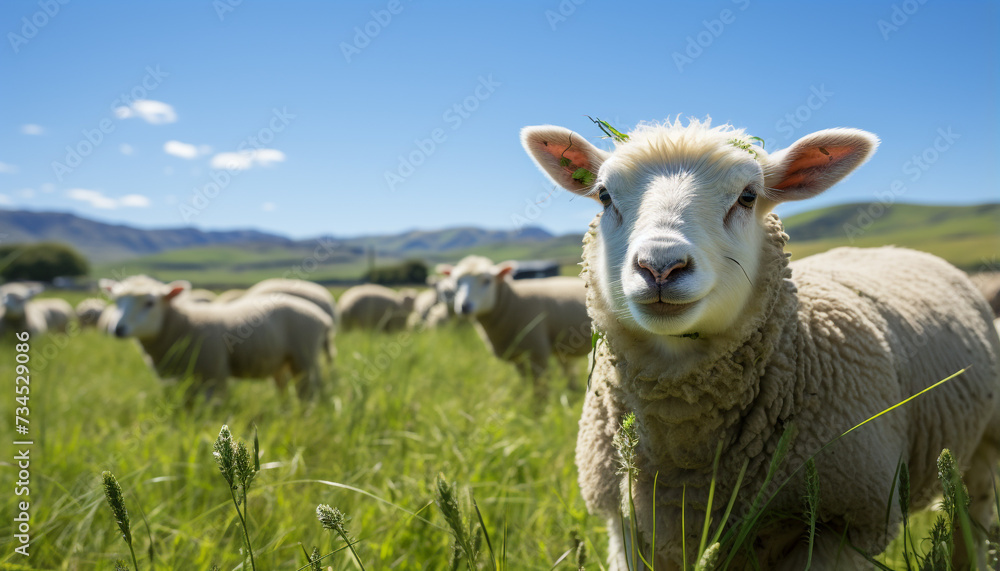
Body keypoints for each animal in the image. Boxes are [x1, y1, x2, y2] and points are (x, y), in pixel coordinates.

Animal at [100, 275, 332, 400]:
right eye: (117, 301)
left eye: (150, 302)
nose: (118, 329)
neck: (182, 324)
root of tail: (321, 316)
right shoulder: (182, 380)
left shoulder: (215, 374)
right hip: (280, 361)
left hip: (304, 357)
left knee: (307, 393)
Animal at [444, 255, 592, 392]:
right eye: (455, 282)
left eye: (487, 281)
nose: (464, 307)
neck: (512, 300)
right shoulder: (517, 355)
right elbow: (526, 381)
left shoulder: (537, 351)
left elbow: (540, 387)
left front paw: (540, 403)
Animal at [521, 118, 1000, 570]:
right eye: (604, 196)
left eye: (748, 197)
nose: (660, 266)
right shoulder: (623, 524)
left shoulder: (844, 526)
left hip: (981, 450)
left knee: (971, 521)